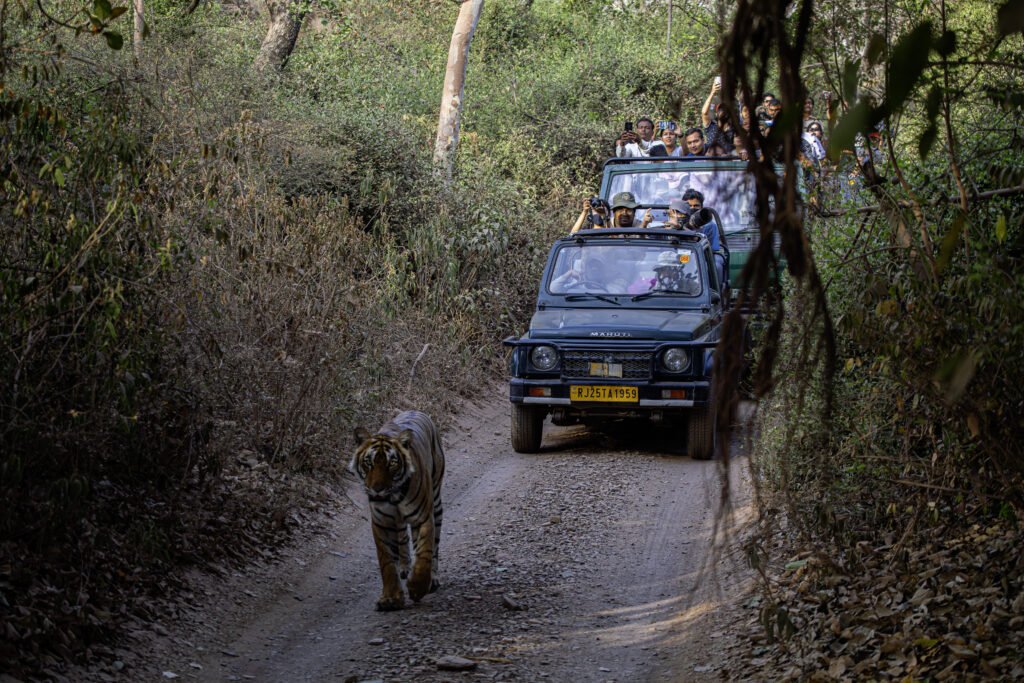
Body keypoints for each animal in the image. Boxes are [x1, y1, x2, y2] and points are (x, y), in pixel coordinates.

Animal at [350, 410, 445, 611]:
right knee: (402, 539)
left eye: (392, 463)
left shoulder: (423, 518)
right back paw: (405, 567)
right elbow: (386, 562)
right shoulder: (382, 523)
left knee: (435, 546)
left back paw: (433, 579)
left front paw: (417, 587)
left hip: (436, 500)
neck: (393, 497)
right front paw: (391, 598)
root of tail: (415, 410)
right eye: (368, 463)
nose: (377, 489)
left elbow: (424, 553)